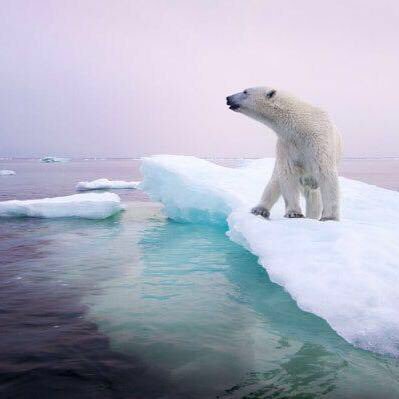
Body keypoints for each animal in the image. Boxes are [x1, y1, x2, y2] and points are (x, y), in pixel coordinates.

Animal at [227, 87, 342, 222]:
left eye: (245, 91)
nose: (228, 98)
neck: (301, 126)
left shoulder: (319, 141)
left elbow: (325, 173)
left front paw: (329, 217)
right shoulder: (287, 144)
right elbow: (288, 173)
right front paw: (294, 213)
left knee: (313, 194)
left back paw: (312, 216)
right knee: (275, 182)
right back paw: (260, 209)